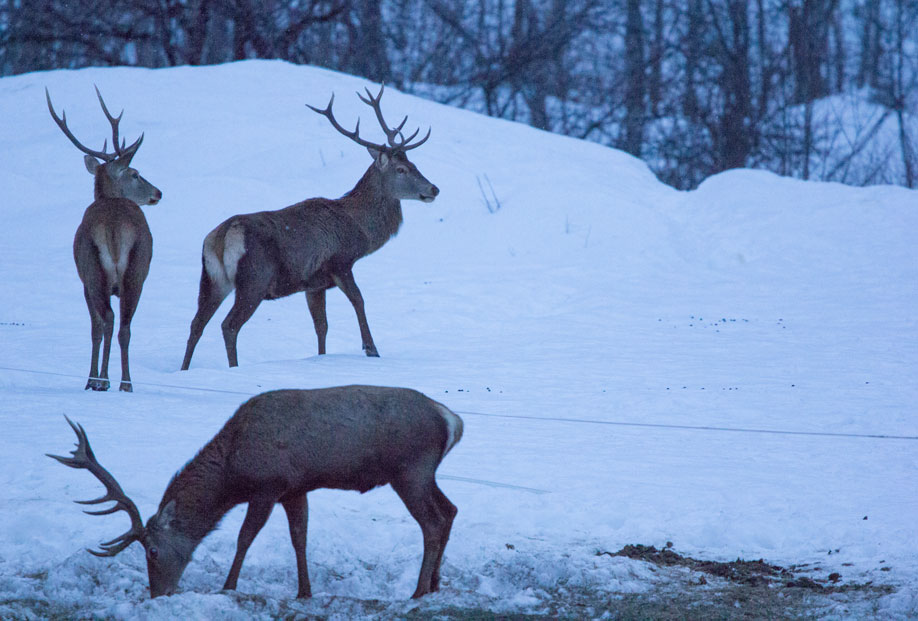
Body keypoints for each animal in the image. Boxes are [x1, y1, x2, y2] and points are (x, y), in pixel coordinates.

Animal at [46, 87, 162, 392]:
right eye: (136, 174)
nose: (158, 192)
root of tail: (114, 227)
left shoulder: (84, 282)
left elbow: (95, 328)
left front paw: (92, 379)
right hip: (136, 271)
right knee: (124, 325)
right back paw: (124, 382)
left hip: (93, 269)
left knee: (108, 321)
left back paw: (101, 381)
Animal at [48, 385, 463, 599]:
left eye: (151, 550)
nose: (158, 594)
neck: (233, 471)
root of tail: (452, 420)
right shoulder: (295, 488)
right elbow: (299, 537)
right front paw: (304, 591)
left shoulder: (268, 485)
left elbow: (245, 537)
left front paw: (227, 586)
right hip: (424, 473)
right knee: (450, 511)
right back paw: (435, 584)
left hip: (409, 470)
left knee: (432, 521)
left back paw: (418, 591)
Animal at [180, 84, 438, 370]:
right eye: (402, 169)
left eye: (415, 165)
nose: (433, 189)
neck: (358, 228)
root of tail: (222, 237)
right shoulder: (339, 262)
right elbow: (359, 300)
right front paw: (371, 349)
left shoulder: (313, 283)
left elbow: (321, 326)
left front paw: (322, 357)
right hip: (254, 278)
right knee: (229, 325)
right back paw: (233, 368)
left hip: (213, 279)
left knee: (196, 324)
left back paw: (183, 369)